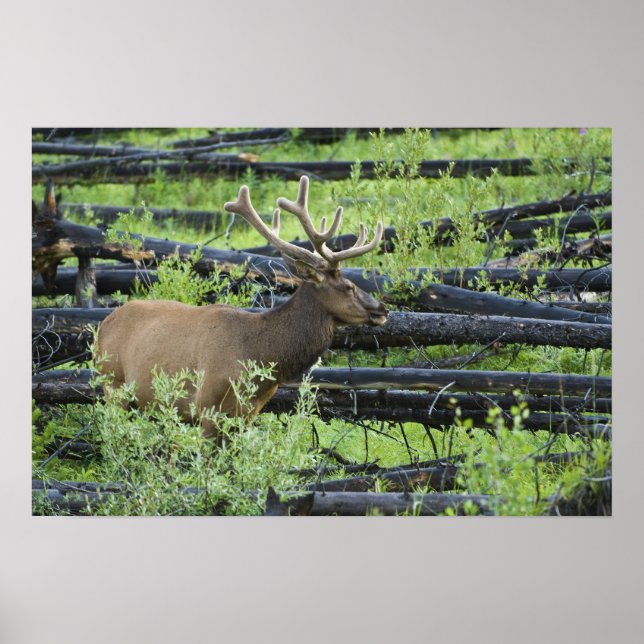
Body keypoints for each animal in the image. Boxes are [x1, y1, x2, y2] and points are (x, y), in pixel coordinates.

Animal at [96, 176, 388, 437]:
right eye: (348, 286)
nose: (382, 309)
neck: (259, 357)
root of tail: (103, 326)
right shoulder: (207, 409)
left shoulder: (246, 415)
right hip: (113, 384)